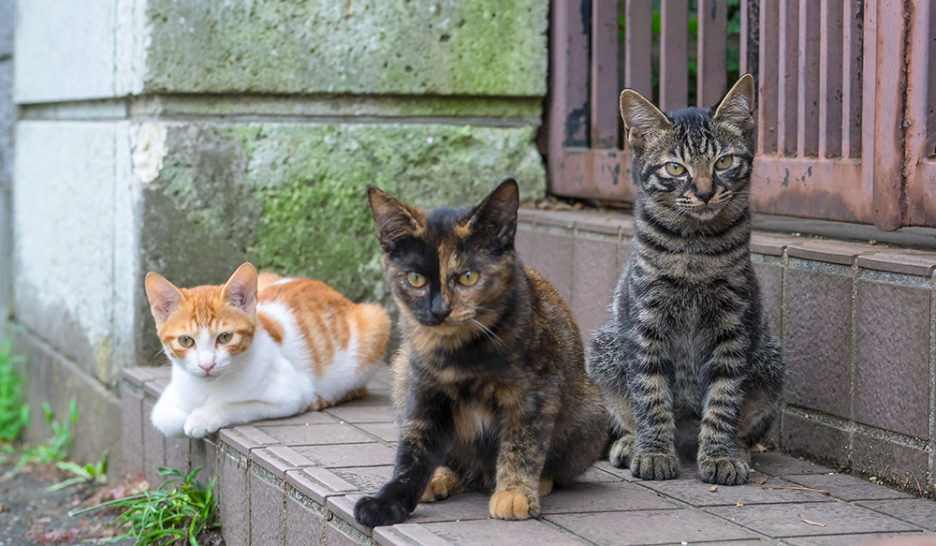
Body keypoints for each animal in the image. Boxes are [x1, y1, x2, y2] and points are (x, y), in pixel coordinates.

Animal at [144, 262, 392, 436]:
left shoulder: (291, 394)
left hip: (375, 322)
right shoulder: (169, 398)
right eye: (186, 341)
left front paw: (201, 417)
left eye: (225, 337)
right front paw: (188, 416)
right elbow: (164, 418)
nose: (207, 365)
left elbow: (234, 405)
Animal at [352, 181, 608, 524]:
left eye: (468, 277)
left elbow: (522, 444)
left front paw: (514, 493)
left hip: (590, 414)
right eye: (415, 278)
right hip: (402, 372)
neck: (461, 354)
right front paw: (387, 501)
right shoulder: (424, 394)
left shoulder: (534, 395)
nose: (439, 309)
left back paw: (537, 482)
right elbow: (412, 451)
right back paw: (439, 478)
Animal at [588, 73, 788, 484]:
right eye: (676, 168)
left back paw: (737, 448)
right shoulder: (645, 324)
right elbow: (650, 396)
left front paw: (720, 455)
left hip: (770, 361)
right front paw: (653, 452)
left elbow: (724, 399)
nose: (705, 190)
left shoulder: (733, 327)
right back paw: (632, 444)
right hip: (604, 350)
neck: (694, 248)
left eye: (723, 161)